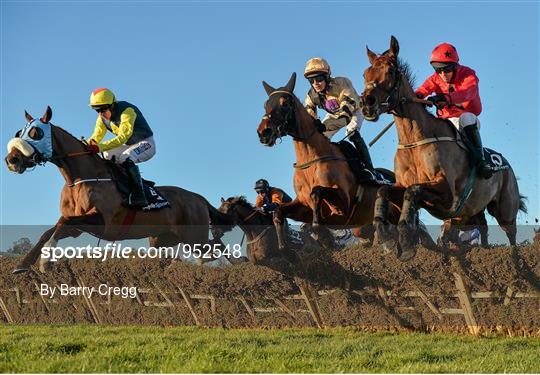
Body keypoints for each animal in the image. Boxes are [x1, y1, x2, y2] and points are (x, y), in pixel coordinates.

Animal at [3, 106, 236, 274]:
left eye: (36, 132)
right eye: (20, 132)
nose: (11, 159)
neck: (79, 178)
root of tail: (198, 198)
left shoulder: (101, 220)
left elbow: (62, 223)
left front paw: (45, 261)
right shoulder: (78, 227)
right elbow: (51, 229)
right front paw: (23, 264)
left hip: (193, 236)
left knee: (214, 249)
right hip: (162, 239)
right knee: (201, 251)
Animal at [256, 72, 434, 258]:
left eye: (284, 103)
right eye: (266, 104)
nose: (263, 132)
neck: (311, 162)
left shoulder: (344, 204)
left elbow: (317, 192)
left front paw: (321, 235)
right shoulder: (303, 206)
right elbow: (278, 212)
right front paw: (285, 248)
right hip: (365, 225)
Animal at [360, 36, 524, 258]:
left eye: (391, 71)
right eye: (365, 73)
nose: (366, 103)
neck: (415, 141)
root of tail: (506, 165)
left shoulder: (446, 192)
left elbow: (412, 191)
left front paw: (405, 239)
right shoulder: (403, 186)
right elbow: (384, 190)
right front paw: (384, 233)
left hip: (505, 207)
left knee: (511, 232)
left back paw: (515, 258)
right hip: (473, 209)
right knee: (482, 226)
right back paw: (484, 250)